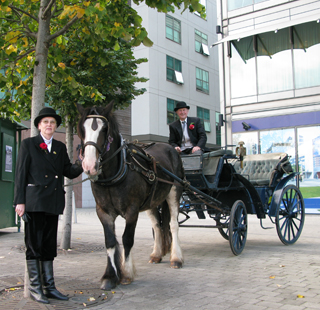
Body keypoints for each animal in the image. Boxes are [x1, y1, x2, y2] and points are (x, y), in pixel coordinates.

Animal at [76, 102, 184, 290]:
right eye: (82, 128)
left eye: (104, 129)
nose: (89, 166)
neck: (116, 173)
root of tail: (171, 148)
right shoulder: (103, 212)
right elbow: (110, 241)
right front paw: (109, 276)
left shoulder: (132, 211)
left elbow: (127, 239)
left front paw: (126, 273)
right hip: (152, 201)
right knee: (157, 226)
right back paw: (156, 254)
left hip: (174, 192)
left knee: (173, 224)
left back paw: (176, 258)